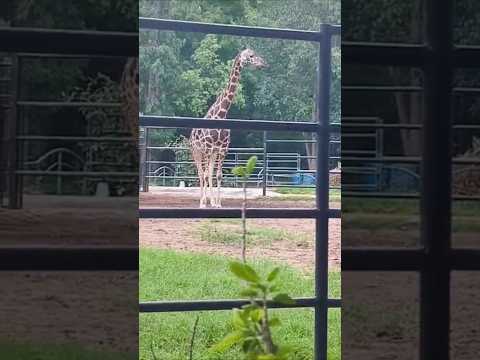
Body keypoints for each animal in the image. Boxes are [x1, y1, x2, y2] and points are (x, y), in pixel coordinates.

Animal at [189, 49, 268, 210]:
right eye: (251, 56)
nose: (264, 63)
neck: (221, 114)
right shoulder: (207, 147)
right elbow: (205, 175)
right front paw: (203, 203)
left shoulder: (222, 148)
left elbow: (218, 175)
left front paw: (218, 203)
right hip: (196, 152)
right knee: (201, 173)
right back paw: (202, 201)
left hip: (211, 153)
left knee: (209, 172)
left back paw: (211, 201)